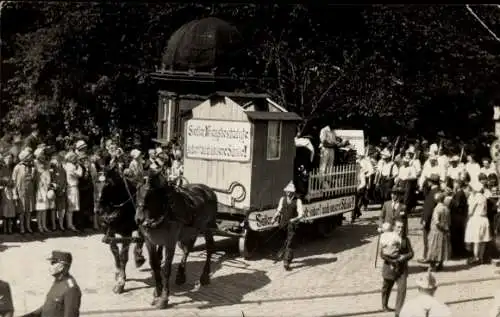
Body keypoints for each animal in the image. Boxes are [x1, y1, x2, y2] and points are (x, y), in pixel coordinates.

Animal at [134, 170, 218, 308]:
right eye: (136, 189)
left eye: (150, 193)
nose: (138, 219)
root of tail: (208, 189)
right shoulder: (149, 241)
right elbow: (154, 265)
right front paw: (157, 291)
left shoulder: (170, 242)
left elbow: (166, 270)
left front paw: (164, 298)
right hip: (192, 231)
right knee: (187, 249)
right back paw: (181, 275)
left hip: (208, 227)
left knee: (210, 248)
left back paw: (205, 276)